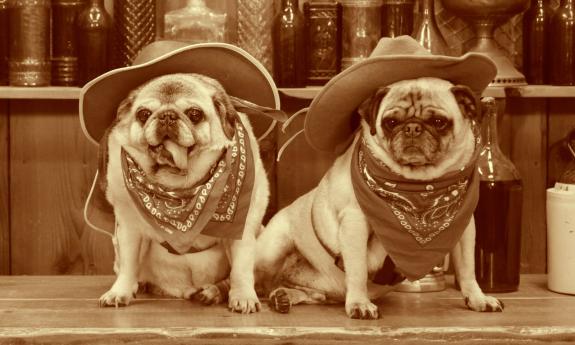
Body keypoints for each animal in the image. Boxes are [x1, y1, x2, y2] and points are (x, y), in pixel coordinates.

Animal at [98, 74, 268, 314]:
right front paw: (120, 291)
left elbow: (241, 270)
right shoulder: (129, 229)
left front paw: (243, 296)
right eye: (143, 114)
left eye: (194, 114)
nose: (167, 116)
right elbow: (128, 265)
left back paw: (213, 292)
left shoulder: (242, 233)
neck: (176, 190)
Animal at [255, 76, 504, 318]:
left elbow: (468, 269)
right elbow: (357, 269)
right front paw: (359, 303)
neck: (419, 187)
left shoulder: (463, 229)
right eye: (391, 123)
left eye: (438, 122)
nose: (412, 128)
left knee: (299, 290)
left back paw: (283, 296)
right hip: (273, 247)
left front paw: (478, 298)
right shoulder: (355, 223)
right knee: (262, 281)